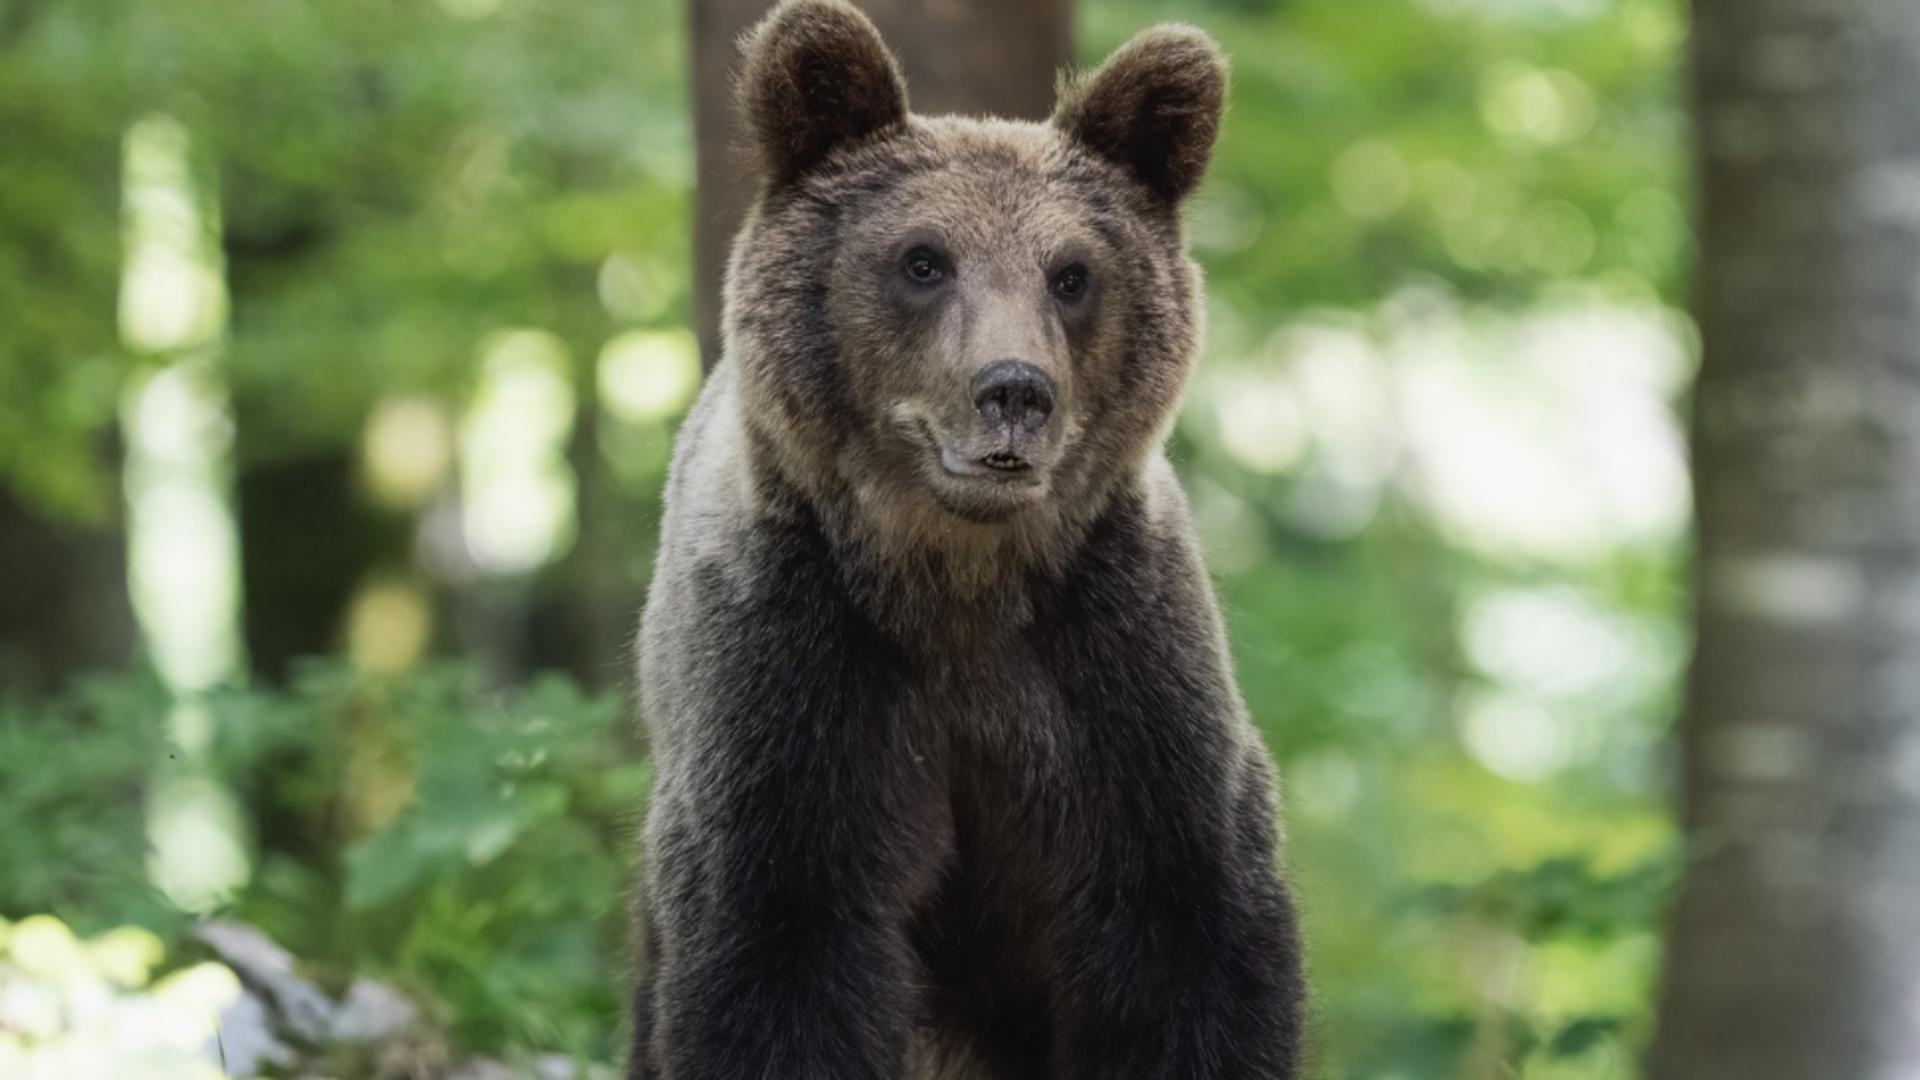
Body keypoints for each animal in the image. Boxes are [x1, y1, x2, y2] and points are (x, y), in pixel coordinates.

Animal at [629, 4, 1305, 1068]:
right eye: (922, 259)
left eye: (1071, 273)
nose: (1014, 390)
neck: (959, 582)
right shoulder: (794, 681)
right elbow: (780, 950)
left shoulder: (1120, 675)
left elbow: (1187, 932)